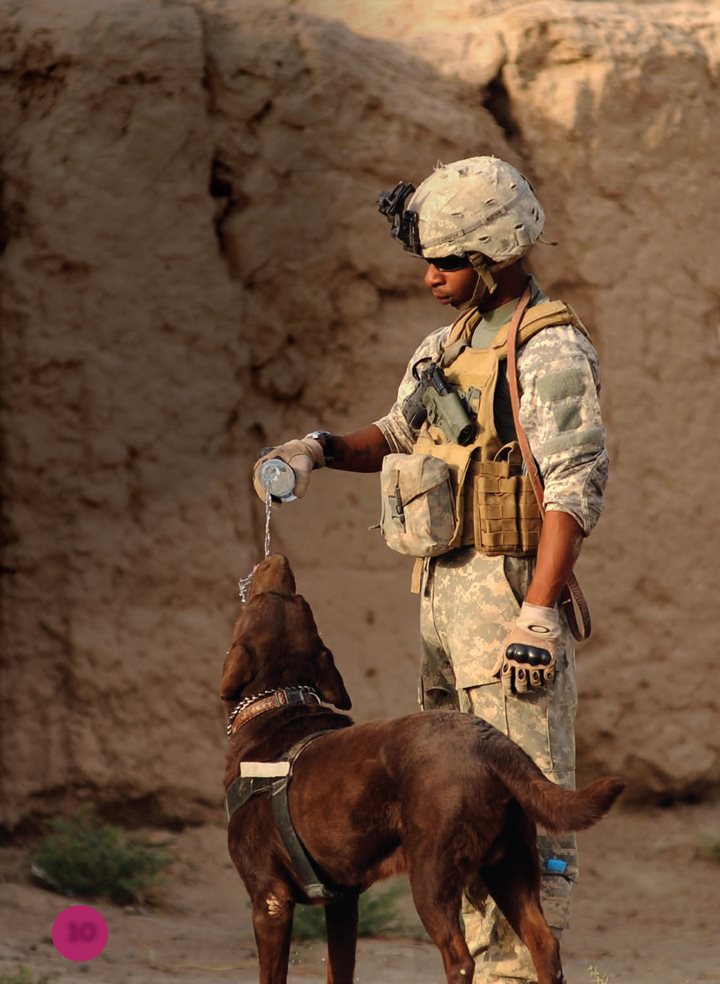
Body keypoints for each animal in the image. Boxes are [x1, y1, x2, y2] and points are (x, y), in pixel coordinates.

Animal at [221, 552, 624, 984]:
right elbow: (338, 971)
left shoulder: (269, 901)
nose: (276, 558)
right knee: (544, 944)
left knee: (460, 959)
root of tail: (491, 741)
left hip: (432, 874)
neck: (281, 700)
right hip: (510, 864)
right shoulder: (343, 902)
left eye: (265, 598)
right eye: (296, 599)